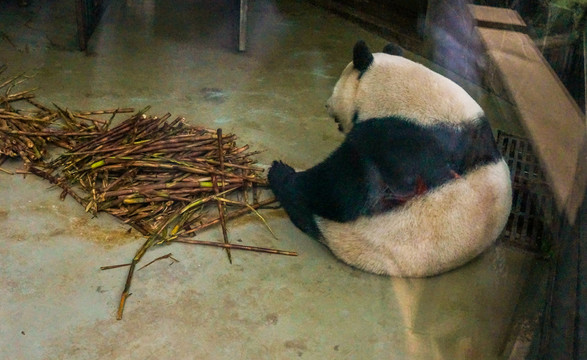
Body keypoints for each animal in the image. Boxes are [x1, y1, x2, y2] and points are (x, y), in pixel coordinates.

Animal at [268, 40, 512, 278]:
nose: (327, 105)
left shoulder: (398, 141)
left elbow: (346, 187)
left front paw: (284, 172)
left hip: (357, 237)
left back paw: (284, 183)